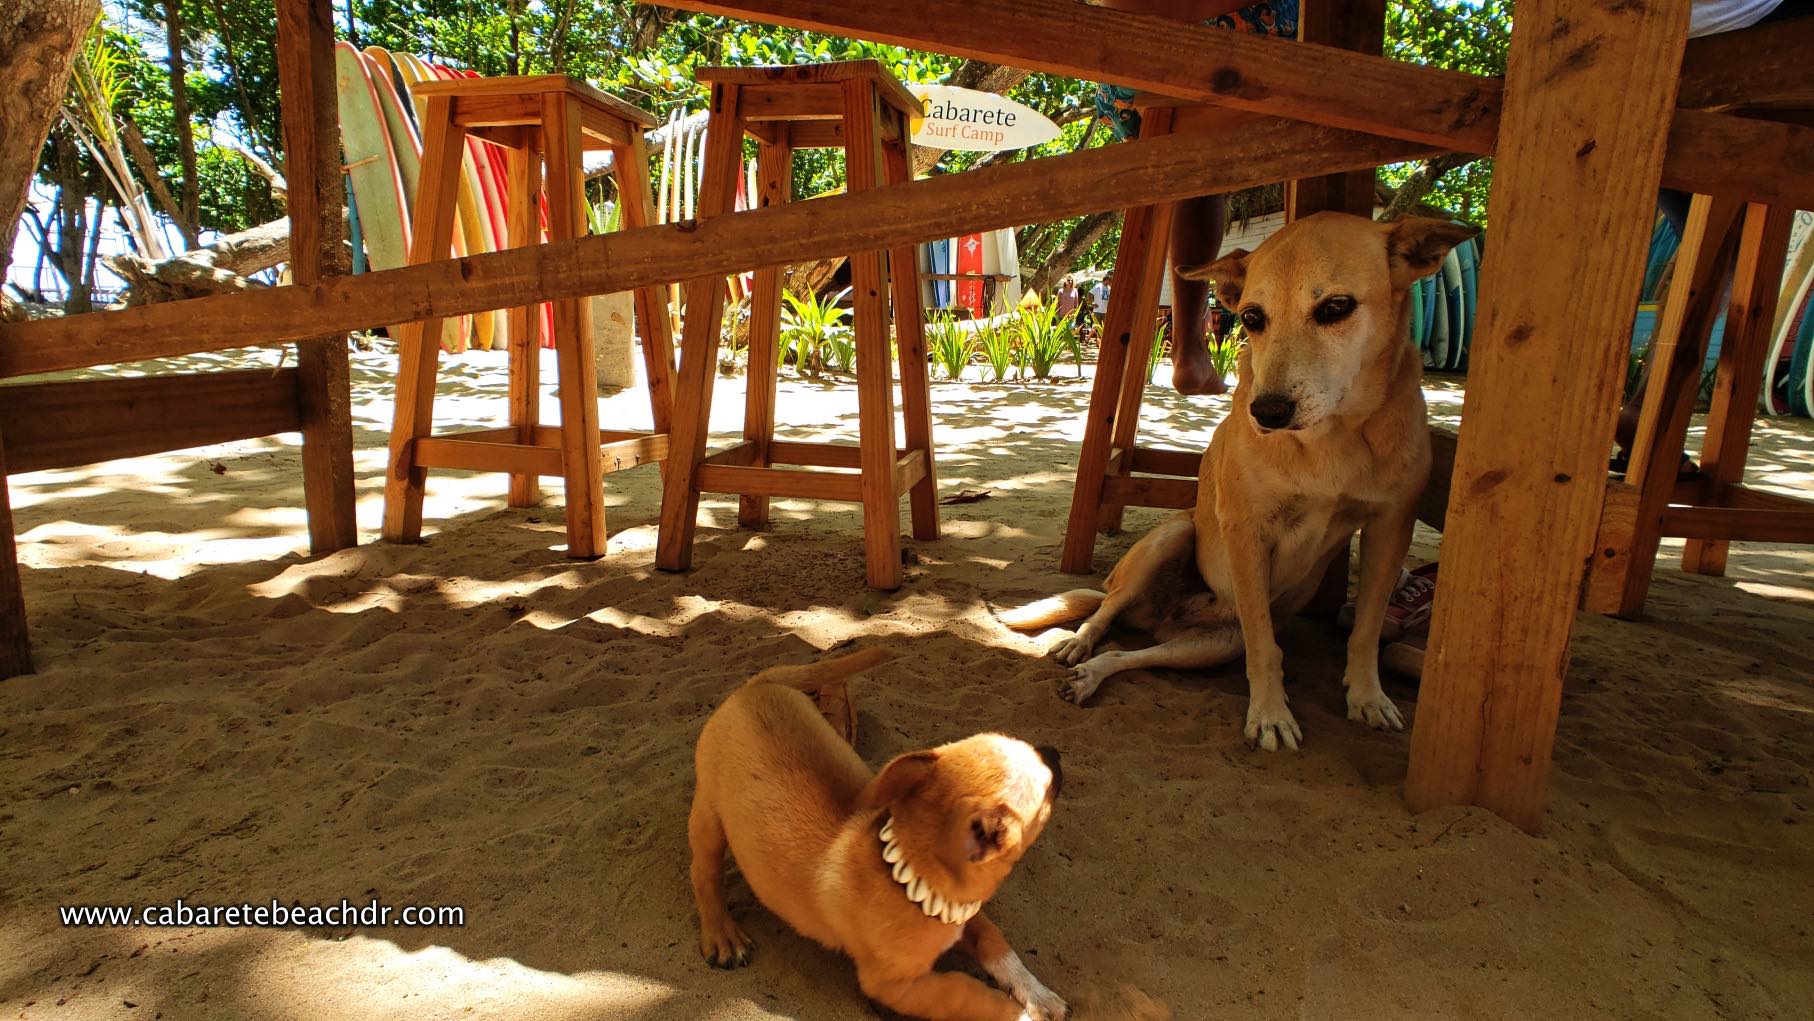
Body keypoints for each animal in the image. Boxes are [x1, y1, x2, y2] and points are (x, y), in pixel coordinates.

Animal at [689, 652, 1059, 1015]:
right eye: (1046, 784)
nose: (1055, 753)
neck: (911, 881)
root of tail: (755, 686)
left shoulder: (966, 916)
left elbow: (995, 941)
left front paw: (1037, 994)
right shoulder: (898, 987)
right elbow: (970, 994)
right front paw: (1022, 1011)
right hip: (708, 817)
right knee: (705, 873)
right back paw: (722, 934)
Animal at [1001, 212, 1480, 750]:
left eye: (1336, 307)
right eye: (1252, 318)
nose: (1266, 412)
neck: (1329, 437)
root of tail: (1160, 614)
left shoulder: (1389, 528)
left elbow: (1365, 631)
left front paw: (1368, 698)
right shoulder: (1246, 532)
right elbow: (1265, 647)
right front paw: (1271, 714)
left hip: (1211, 644)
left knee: (1128, 655)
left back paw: (1090, 677)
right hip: (1172, 538)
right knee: (1103, 614)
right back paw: (1077, 646)